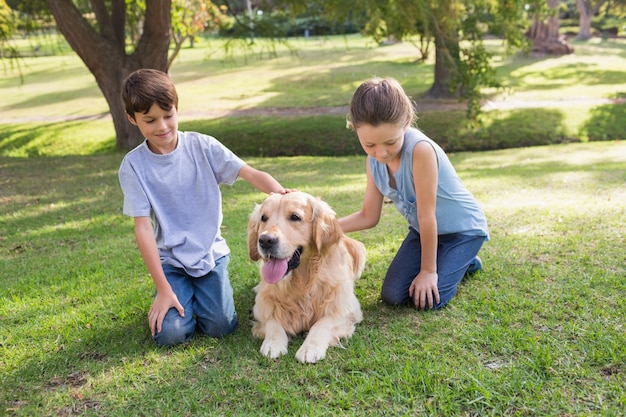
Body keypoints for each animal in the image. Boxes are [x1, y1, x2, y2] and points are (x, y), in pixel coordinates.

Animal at [246, 191, 366, 360]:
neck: (302, 282)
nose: (265, 240)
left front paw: (310, 347)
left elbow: (322, 322)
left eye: (295, 217)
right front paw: (273, 343)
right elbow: (272, 321)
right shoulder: (263, 304)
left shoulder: (348, 308)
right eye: (264, 218)